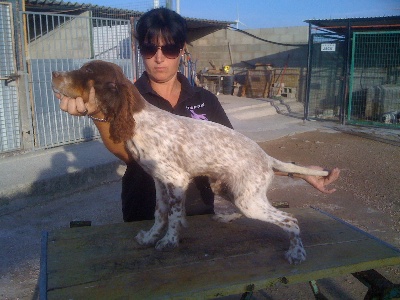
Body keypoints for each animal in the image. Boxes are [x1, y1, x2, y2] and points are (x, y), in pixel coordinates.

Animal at [51, 59, 330, 264]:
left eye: (87, 71)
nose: (54, 73)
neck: (137, 121)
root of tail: (265, 156)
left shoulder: (177, 180)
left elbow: (174, 216)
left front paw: (169, 242)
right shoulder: (160, 182)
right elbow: (160, 213)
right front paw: (150, 237)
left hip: (249, 199)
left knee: (290, 220)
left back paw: (297, 252)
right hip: (230, 190)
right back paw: (226, 219)